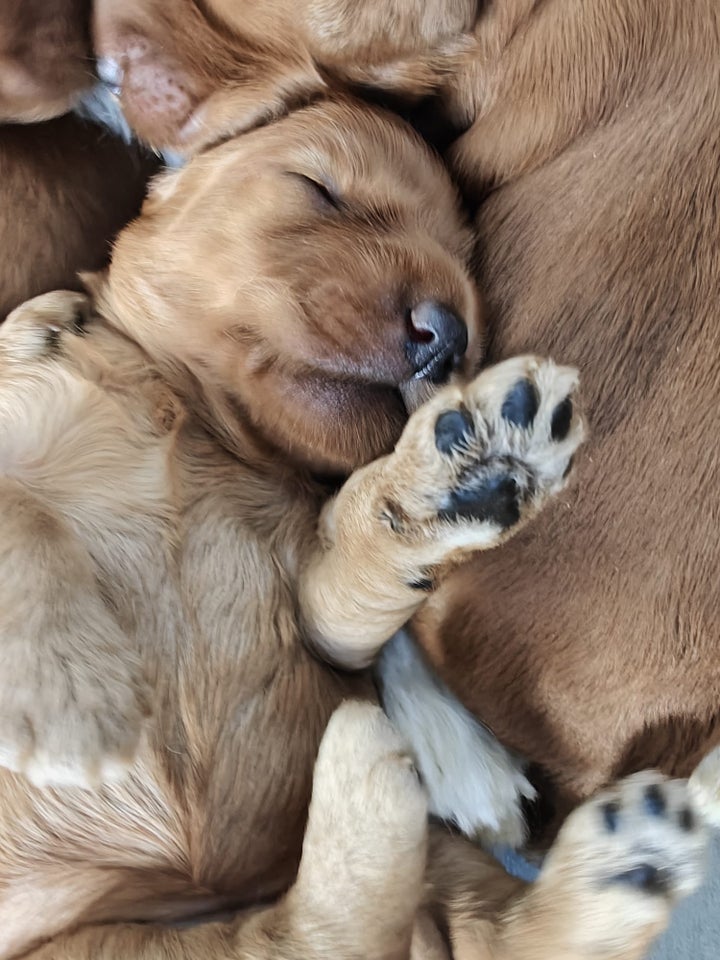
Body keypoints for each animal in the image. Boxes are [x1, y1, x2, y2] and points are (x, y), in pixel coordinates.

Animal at [0, 80, 704, 960]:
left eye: (466, 258)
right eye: (319, 188)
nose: (447, 336)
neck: (191, 417)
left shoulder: (315, 614)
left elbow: (354, 549)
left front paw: (448, 476)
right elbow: (21, 511)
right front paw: (71, 699)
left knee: (405, 935)